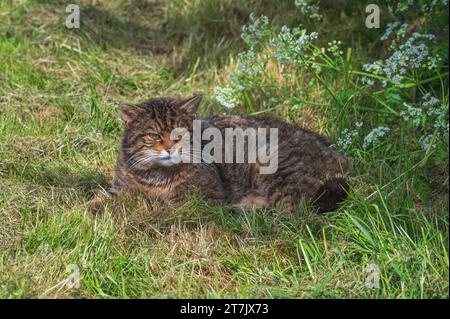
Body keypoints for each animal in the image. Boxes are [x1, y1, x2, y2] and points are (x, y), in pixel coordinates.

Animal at [110, 96, 350, 214]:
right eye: (154, 135)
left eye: (180, 134)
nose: (170, 148)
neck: (159, 176)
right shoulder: (119, 189)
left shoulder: (206, 197)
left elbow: (167, 203)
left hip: (273, 164)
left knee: (296, 213)